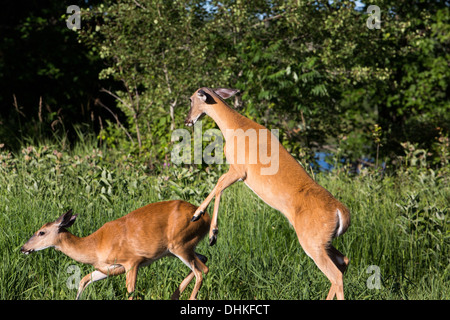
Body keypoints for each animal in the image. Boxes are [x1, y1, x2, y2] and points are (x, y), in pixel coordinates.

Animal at [20, 200, 211, 300]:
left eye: (41, 232)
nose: (23, 248)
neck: (94, 246)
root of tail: (207, 219)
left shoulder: (132, 261)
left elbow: (131, 291)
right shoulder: (108, 268)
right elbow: (84, 280)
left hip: (179, 245)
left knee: (202, 270)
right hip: (180, 248)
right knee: (204, 260)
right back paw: (174, 295)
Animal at [185, 87, 350, 300]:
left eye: (190, 100)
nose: (187, 120)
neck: (234, 127)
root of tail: (341, 211)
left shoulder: (239, 169)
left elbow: (219, 184)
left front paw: (202, 222)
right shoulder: (238, 172)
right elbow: (220, 185)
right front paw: (210, 230)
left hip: (312, 241)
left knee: (335, 274)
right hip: (324, 240)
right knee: (343, 261)